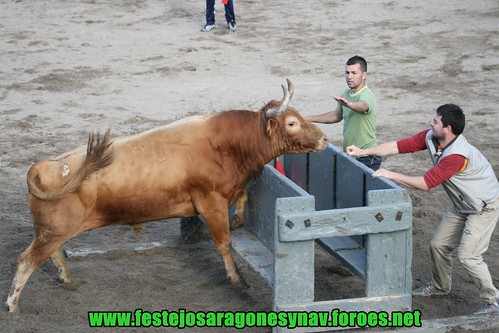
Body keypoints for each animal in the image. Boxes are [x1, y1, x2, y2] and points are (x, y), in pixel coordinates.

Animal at [7, 80, 330, 312]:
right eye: (291, 123)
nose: (324, 138)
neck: (226, 145)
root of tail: (49, 165)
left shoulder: (229, 192)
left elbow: (244, 199)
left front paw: (239, 219)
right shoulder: (211, 203)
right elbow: (224, 244)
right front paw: (238, 281)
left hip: (54, 231)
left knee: (51, 254)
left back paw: (67, 280)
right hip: (52, 231)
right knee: (26, 260)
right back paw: (13, 306)